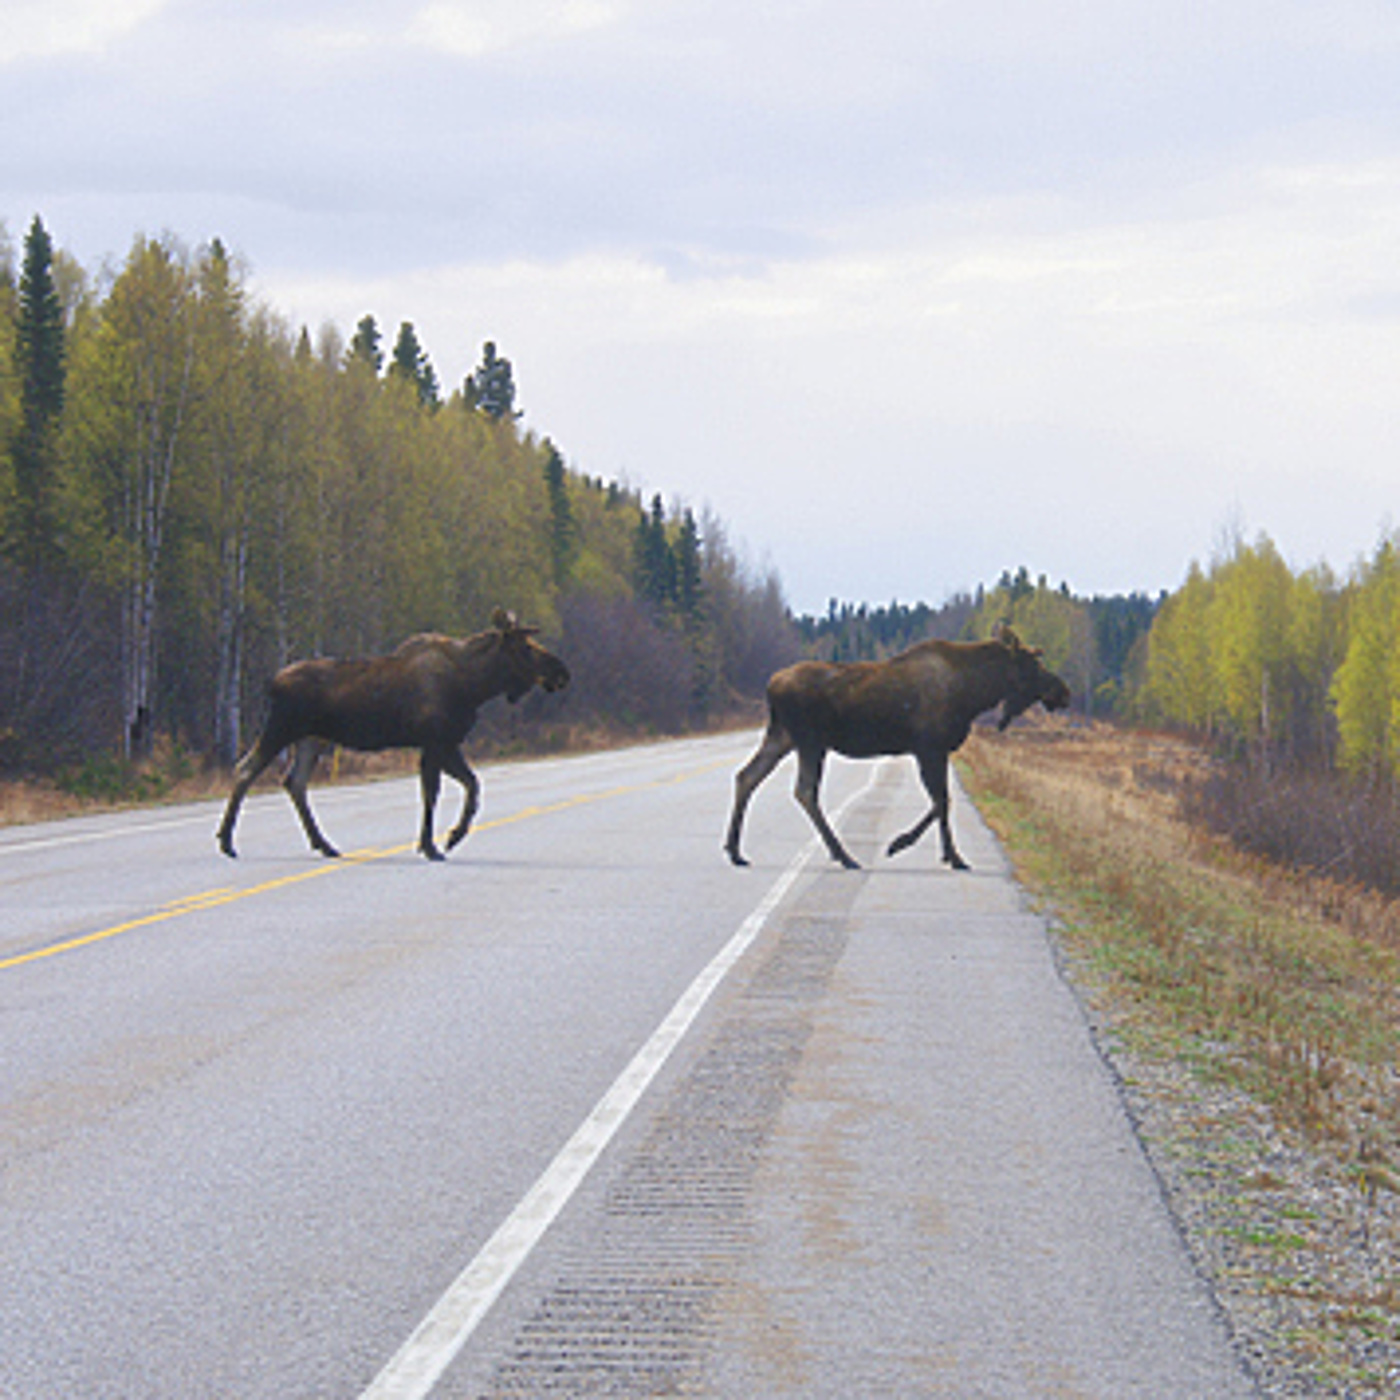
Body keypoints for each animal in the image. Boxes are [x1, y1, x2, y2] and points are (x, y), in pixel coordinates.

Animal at [218, 613, 568, 862]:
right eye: (525, 648)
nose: (562, 671)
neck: (473, 685)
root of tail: (272, 682)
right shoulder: (434, 743)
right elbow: (433, 793)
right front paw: (431, 846)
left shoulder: (447, 743)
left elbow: (472, 784)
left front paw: (454, 836)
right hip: (281, 728)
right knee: (245, 769)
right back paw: (227, 842)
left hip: (311, 739)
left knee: (294, 781)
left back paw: (324, 844)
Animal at [728, 627, 1064, 868]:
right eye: (1033, 663)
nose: (1063, 691)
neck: (973, 693)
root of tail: (771, 684)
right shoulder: (929, 748)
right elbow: (942, 800)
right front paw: (913, 846)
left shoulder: (936, 751)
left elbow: (942, 800)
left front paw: (946, 854)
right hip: (810, 740)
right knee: (804, 790)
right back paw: (843, 855)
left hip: (782, 735)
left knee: (747, 776)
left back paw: (734, 850)